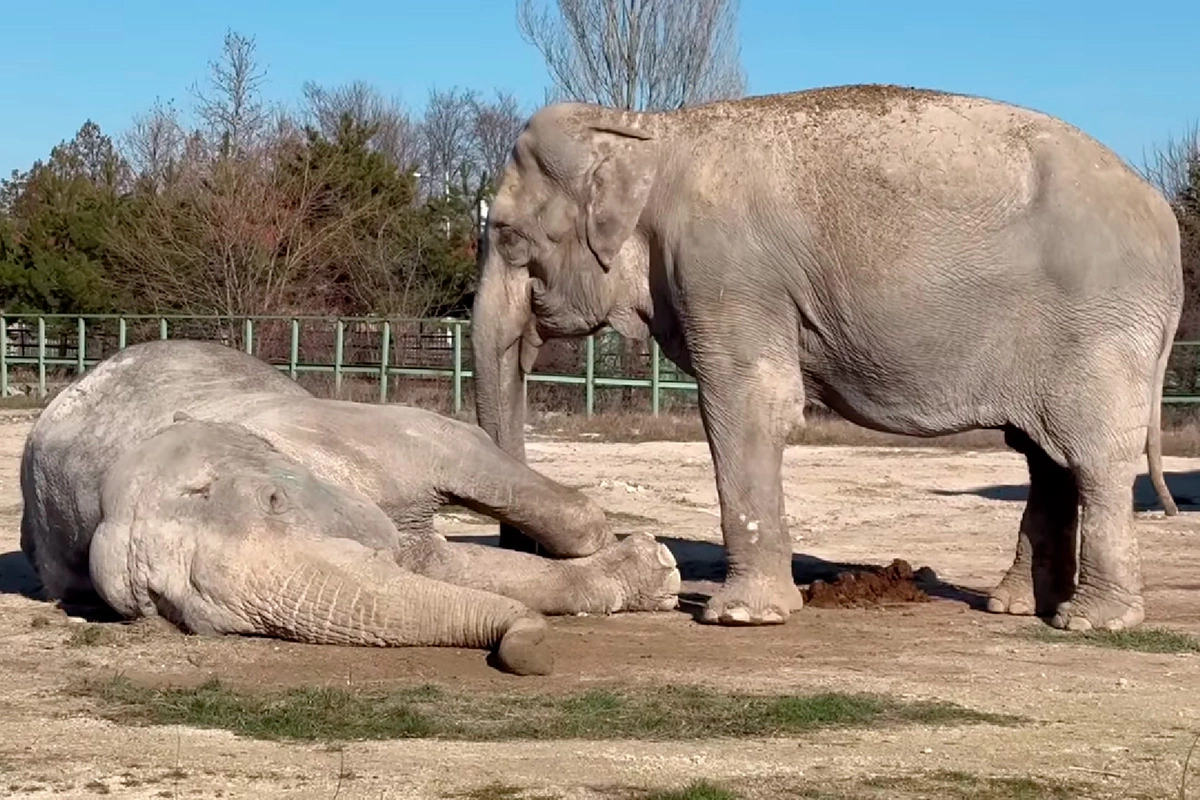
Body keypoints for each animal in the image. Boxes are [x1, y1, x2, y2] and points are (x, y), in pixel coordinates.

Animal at [18, 340, 681, 676]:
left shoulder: (346, 433)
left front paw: (655, 564)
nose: (532, 651)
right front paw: (654, 575)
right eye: (175, 609)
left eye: (274, 500)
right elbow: (444, 569)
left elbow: (459, 446)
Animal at [468, 81, 1180, 633]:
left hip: (1100, 326)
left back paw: (1091, 622)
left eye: (507, 235)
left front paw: (738, 617)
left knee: (1092, 457)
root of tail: (1164, 214)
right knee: (1044, 456)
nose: (526, 548)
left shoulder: (727, 273)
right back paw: (1015, 608)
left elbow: (751, 407)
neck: (649, 131)